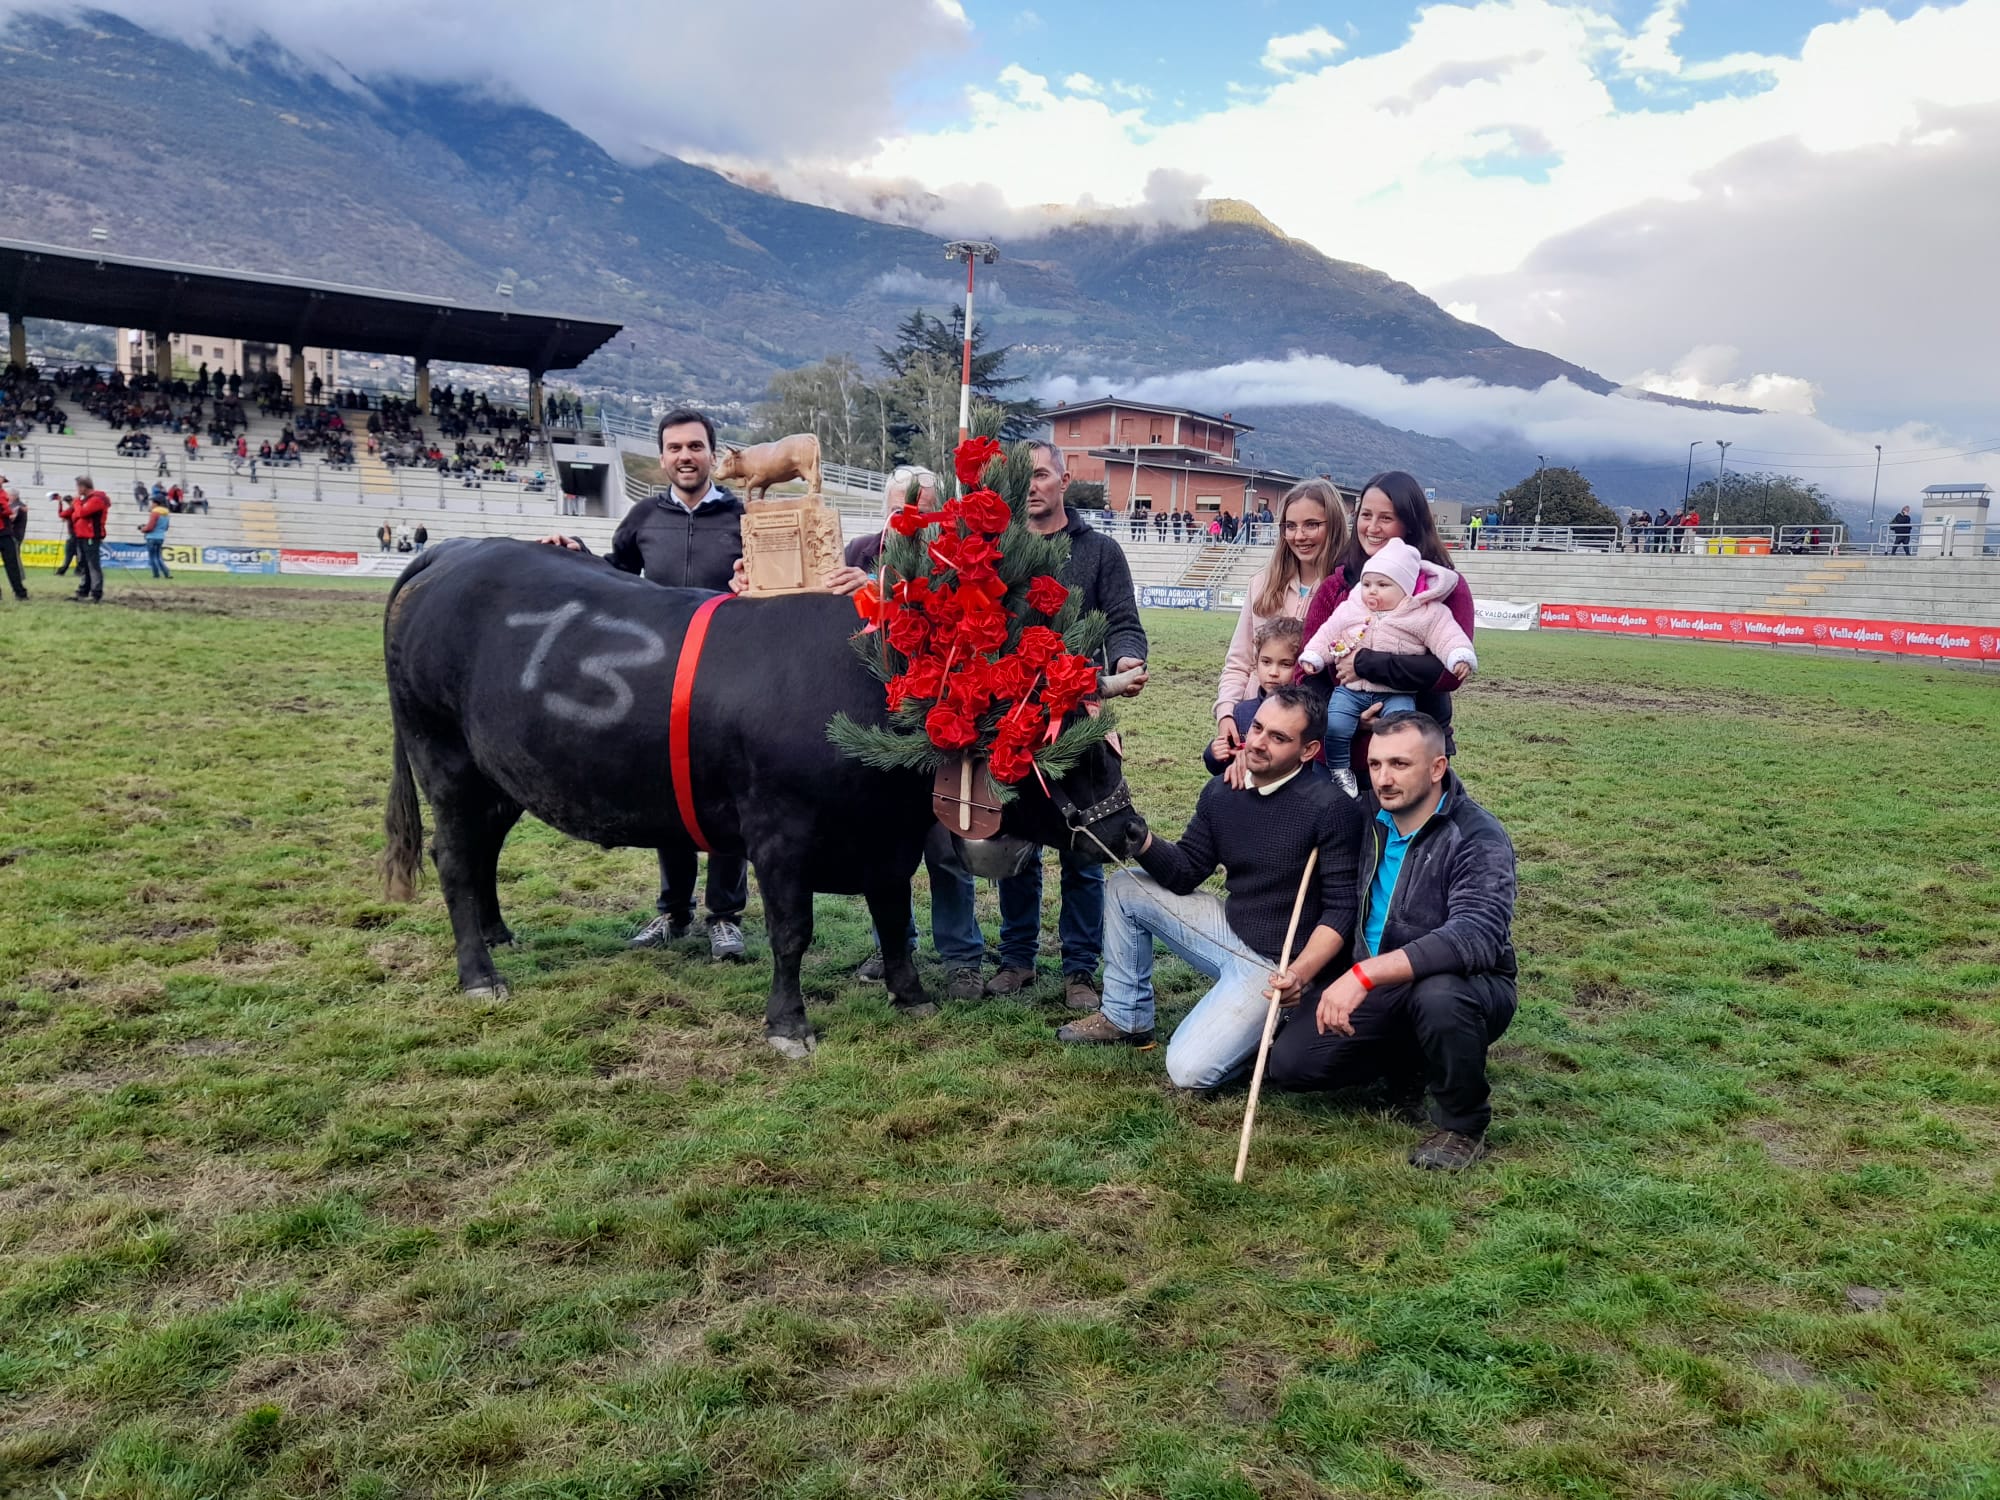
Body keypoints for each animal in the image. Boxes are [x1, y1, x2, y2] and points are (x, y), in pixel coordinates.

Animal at [382, 540, 1152, 1056]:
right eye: (1070, 753)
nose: (1131, 832)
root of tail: (454, 552)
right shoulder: (779, 836)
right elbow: (792, 932)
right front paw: (788, 1025)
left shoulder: (888, 844)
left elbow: (893, 920)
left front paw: (911, 997)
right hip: (444, 759)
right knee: (455, 860)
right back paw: (480, 974)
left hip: (499, 775)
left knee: (484, 851)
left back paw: (497, 934)